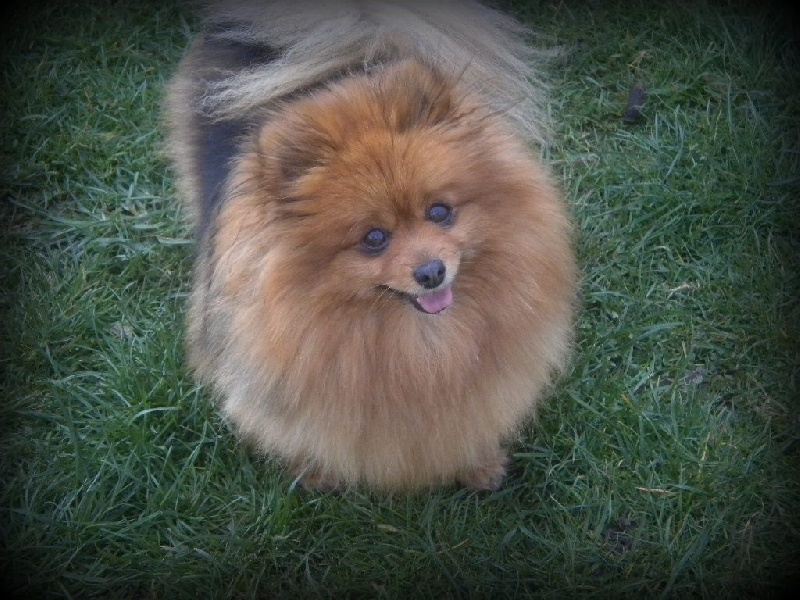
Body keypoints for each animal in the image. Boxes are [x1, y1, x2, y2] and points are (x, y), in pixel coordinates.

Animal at [164, 0, 576, 492]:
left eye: (440, 212)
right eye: (374, 239)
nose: (431, 271)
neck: (421, 345)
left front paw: (479, 465)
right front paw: (316, 472)